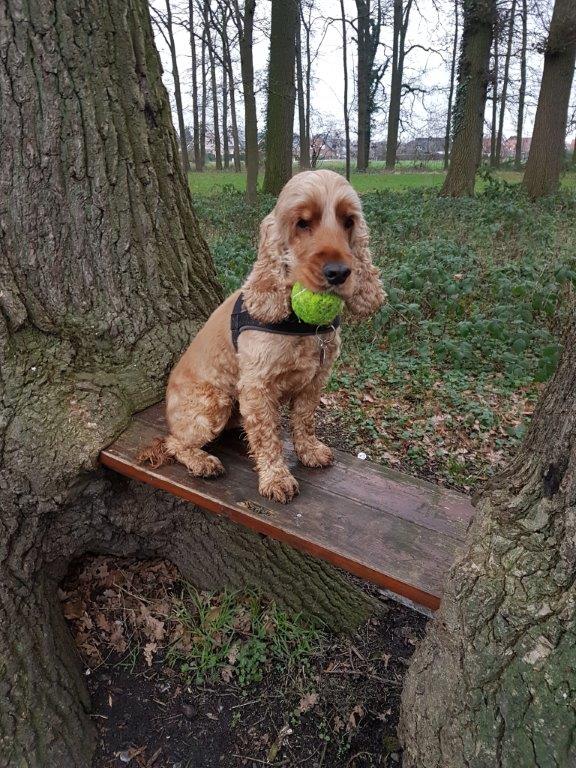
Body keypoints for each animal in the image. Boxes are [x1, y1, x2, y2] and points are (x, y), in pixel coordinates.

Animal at [138, 170, 384, 500]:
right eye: (302, 223)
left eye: (349, 221)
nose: (339, 273)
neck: (301, 324)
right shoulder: (258, 385)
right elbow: (268, 436)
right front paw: (276, 478)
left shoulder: (315, 379)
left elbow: (304, 419)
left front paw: (309, 451)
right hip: (214, 402)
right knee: (174, 441)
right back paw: (202, 461)